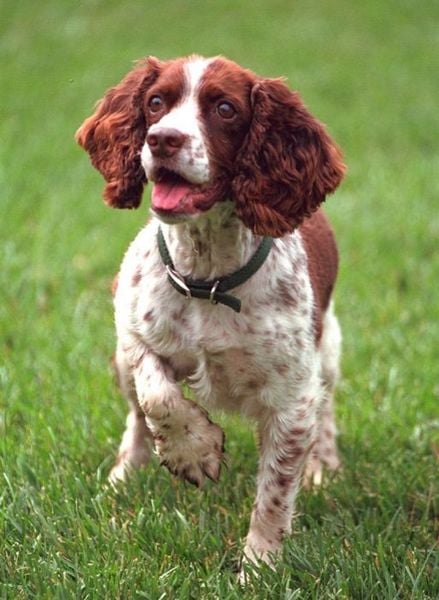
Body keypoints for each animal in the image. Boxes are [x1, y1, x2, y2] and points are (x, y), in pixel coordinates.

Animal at [75, 54, 346, 568]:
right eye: (155, 101)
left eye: (224, 108)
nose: (162, 139)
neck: (210, 280)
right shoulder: (133, 333)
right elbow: (157, 395)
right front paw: (194, 451)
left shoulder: (293, 398)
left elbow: (274, 492)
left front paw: (259, 567)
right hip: (118, 361)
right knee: (136, 417)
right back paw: (124, 477)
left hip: (330, 352)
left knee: (326, 413)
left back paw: (324, 468)